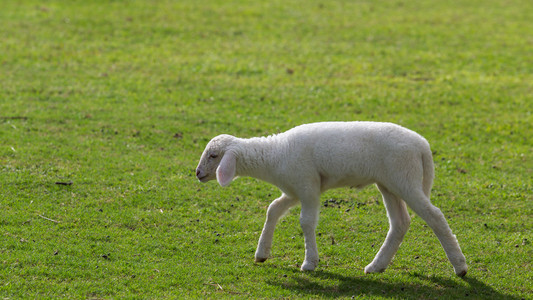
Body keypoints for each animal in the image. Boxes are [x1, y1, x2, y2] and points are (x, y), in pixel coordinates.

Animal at [194, 121, 466, 276]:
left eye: (213, 155)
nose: (197, 173)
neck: (274, 155)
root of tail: (423, 146)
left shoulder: (307, 187)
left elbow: (306, 223)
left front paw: (309, 263)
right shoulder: (295, 190)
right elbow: (273, 209)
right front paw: (262, 253)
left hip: (405, 179)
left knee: (435, 216)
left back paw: (460, 267)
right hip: (389, 184)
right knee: (400, 223)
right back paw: (376, 266)